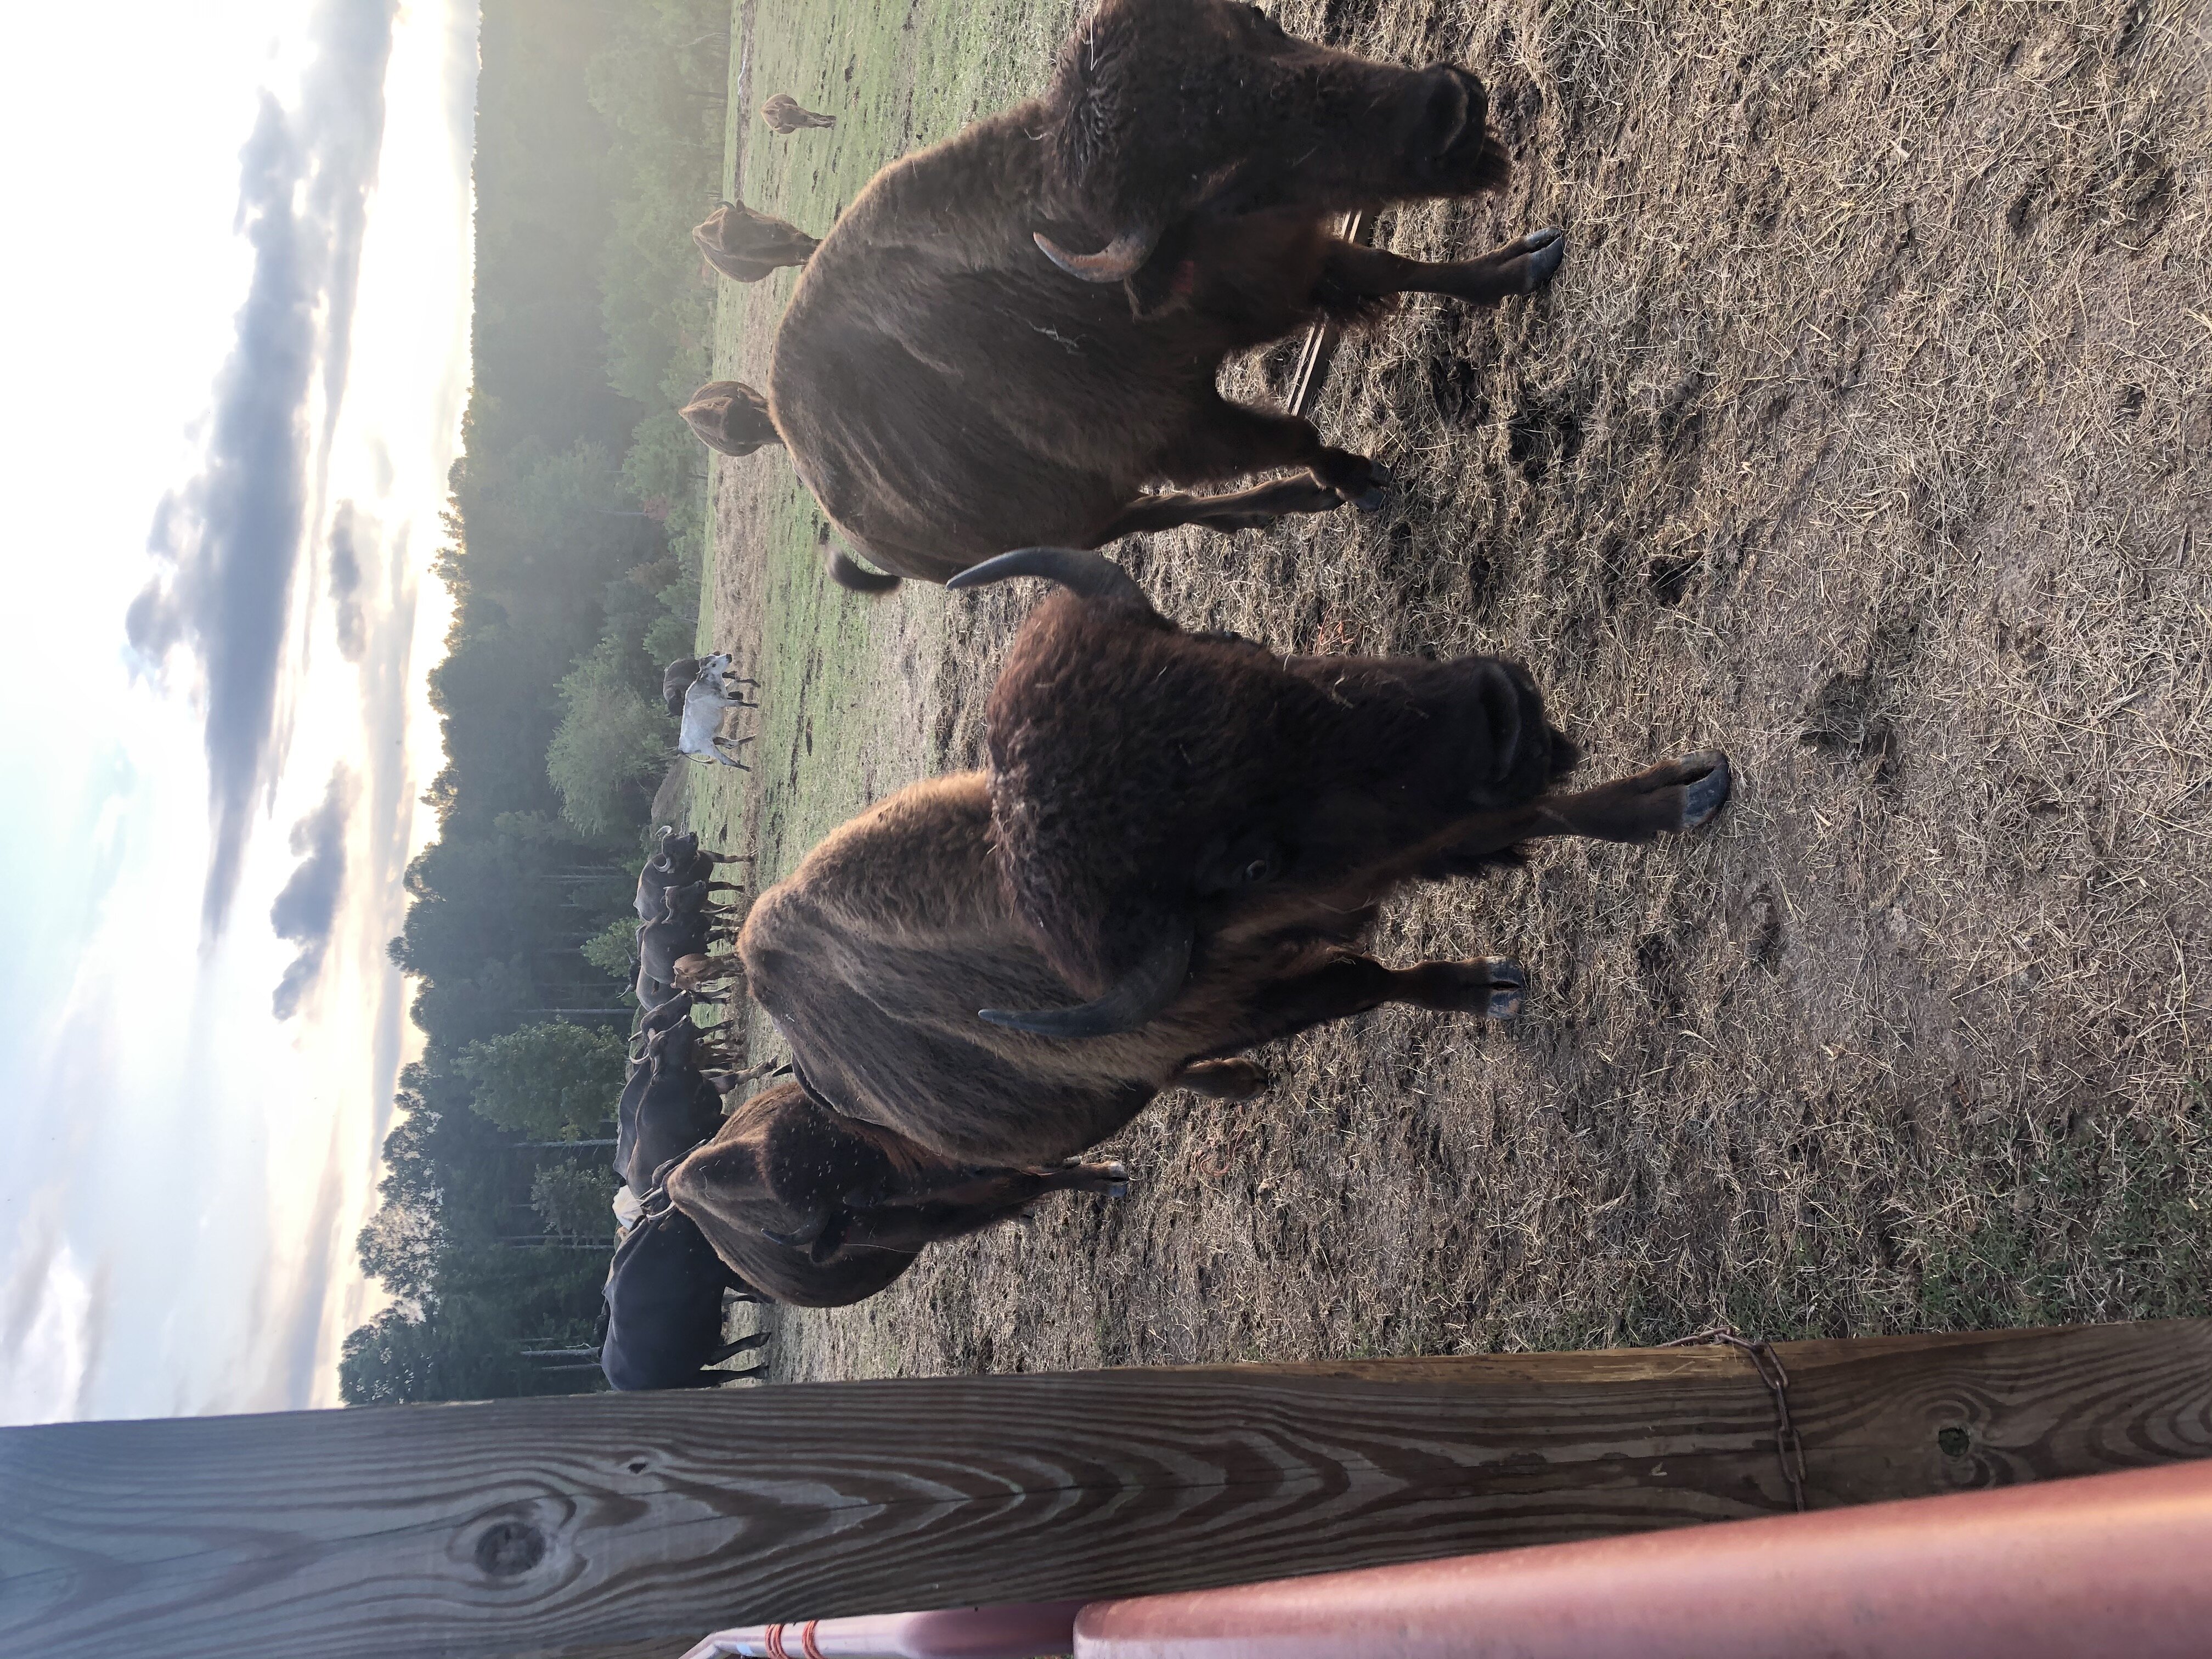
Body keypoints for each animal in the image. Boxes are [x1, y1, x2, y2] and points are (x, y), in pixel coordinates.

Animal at [600, 1205, 771, 1390]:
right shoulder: (720, 1271)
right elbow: (745, 1285)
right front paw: (767, 1296)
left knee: (714, 1357)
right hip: (688, 1377)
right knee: (720, 1374)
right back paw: (759, 1367)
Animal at [665, 1079, 1128, 1307]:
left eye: (867, 1128)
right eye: (871, 1196)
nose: (973, 1166)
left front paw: (1098, 1172)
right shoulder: (948, 1214)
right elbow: (1028, 1183)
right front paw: (1108, 1179)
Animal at [693, 199, 819, 284]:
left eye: (747, 216)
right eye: (738, 246)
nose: (774, 232)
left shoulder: (792, 232)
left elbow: (808, 241)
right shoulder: (786, 257)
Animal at [734, 546, 1731, 1167]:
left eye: (1235, 644)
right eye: (1249, 862)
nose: (1502, 710)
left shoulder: (1417, 832)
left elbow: (1538, 815)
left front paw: (1678, 792)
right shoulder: (1264, 983)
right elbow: (1368, 977)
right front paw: (1484, 987)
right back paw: (1241, 1083)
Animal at [761, 93, 835, 134]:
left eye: (792, 108)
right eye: (789, 123)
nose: (804, 118)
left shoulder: (804, 112)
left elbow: (816, 116)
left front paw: (832, 119)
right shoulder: (804, 124)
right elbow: (814, 124)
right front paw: (828, 124)